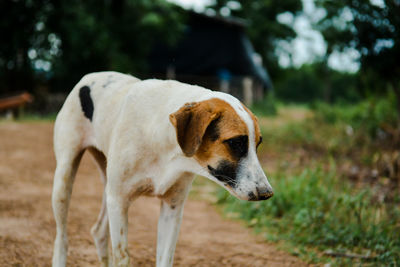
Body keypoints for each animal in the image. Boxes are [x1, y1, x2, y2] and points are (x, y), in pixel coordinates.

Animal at [51, 71, 274, 267]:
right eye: (235, 143)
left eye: (258, 144)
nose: (267, 193)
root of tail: (90, 76)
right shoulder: (119, 202)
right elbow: (122, 257)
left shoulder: (172, 208)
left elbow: (165, 258)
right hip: (65, 182)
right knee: (62, 237)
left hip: (108, 189)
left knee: (98, 232)